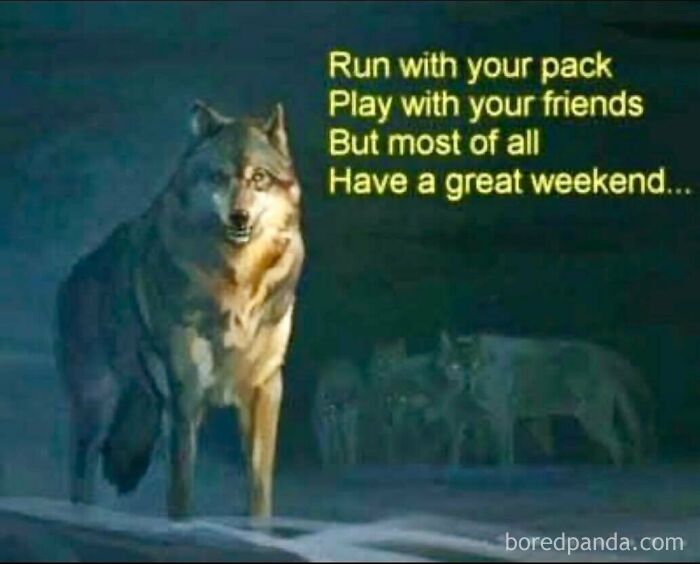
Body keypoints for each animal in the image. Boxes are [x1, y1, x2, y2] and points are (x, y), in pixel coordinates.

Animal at [54, 101, 304, 519]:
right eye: (219, 176)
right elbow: (181, 487)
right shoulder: (186, 393)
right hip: (96, 407)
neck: (237, 285)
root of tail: (76, 271)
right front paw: (181, 527)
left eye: (259, 177)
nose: (239, 217)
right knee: (80, 473)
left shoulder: (265, 386)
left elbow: (258, 487)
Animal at [446, 332, 651, 466]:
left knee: (619, 446)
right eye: (455, 366)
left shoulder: (500, 417)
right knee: (622, 445)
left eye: (474, 365)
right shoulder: (481, 419)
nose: (467, 382)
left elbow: (502, 451)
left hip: (593, 422)